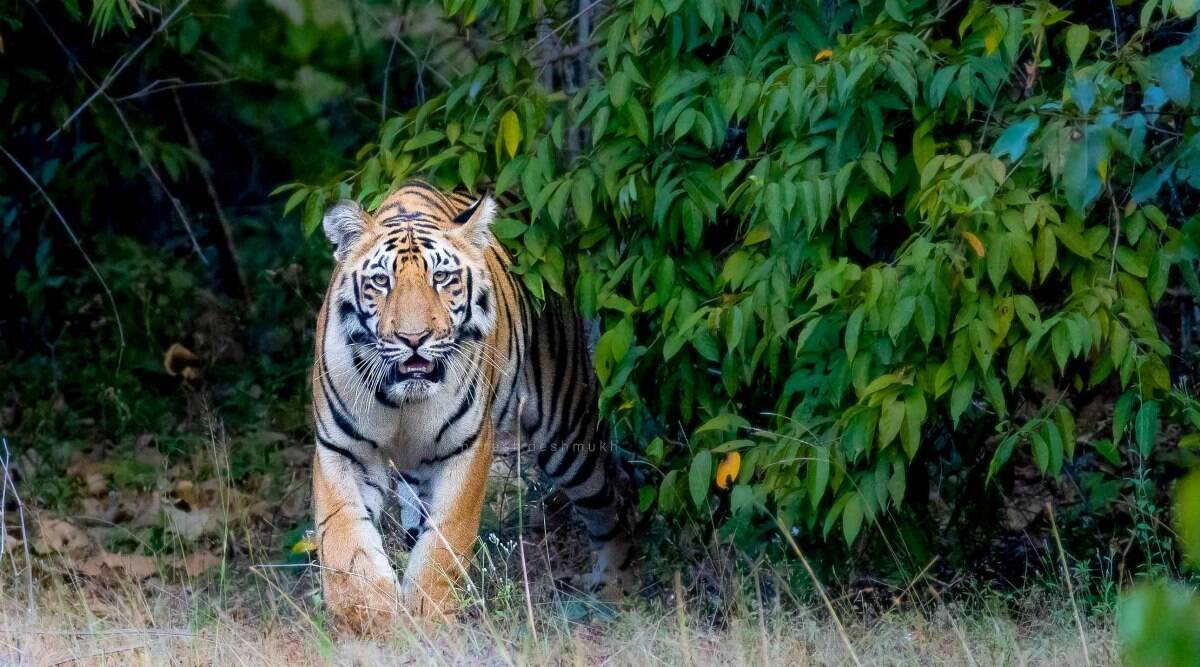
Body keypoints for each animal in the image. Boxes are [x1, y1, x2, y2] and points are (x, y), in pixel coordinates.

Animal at [310, 181, 635, 632]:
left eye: (442, 278)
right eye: (380, 281)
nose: (414, 338)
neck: (403, 399)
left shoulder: (466, 449)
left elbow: (447, 540)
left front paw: (429, 617)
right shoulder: (342, 450)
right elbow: (344, 538)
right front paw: (371, 615)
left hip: (569, 436)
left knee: (614, 501)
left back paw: (615, 591)